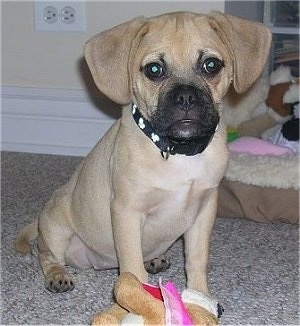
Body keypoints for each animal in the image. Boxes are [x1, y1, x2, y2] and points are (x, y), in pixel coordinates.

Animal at [14, 11, 272, 296]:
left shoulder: (204, 211)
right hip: (57, 228)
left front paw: (199, 296)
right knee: (47, 255)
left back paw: (154, 259)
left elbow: (196, 260)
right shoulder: (127, 211)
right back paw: (58, 275)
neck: (178, 153)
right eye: (154, 69)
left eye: (211, 65)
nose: (186, 97)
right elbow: (133, 271)